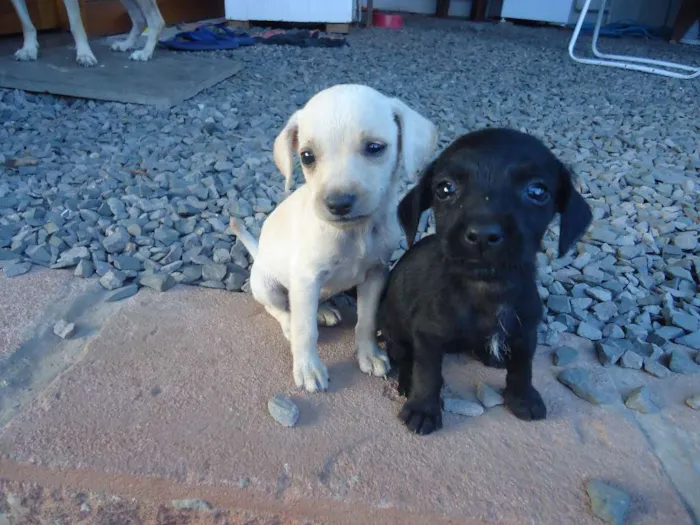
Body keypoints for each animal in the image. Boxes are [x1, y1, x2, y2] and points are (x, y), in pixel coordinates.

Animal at [378, 127, 592, 434]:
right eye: (445, 189)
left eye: (537, 191)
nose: (482, 235)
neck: (486, 287)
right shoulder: (427, 336)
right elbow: (427, 373)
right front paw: (423, 408)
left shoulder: (526, 331)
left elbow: (522, 368)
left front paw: (523, 398)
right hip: (395, 331)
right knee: (405, 356)